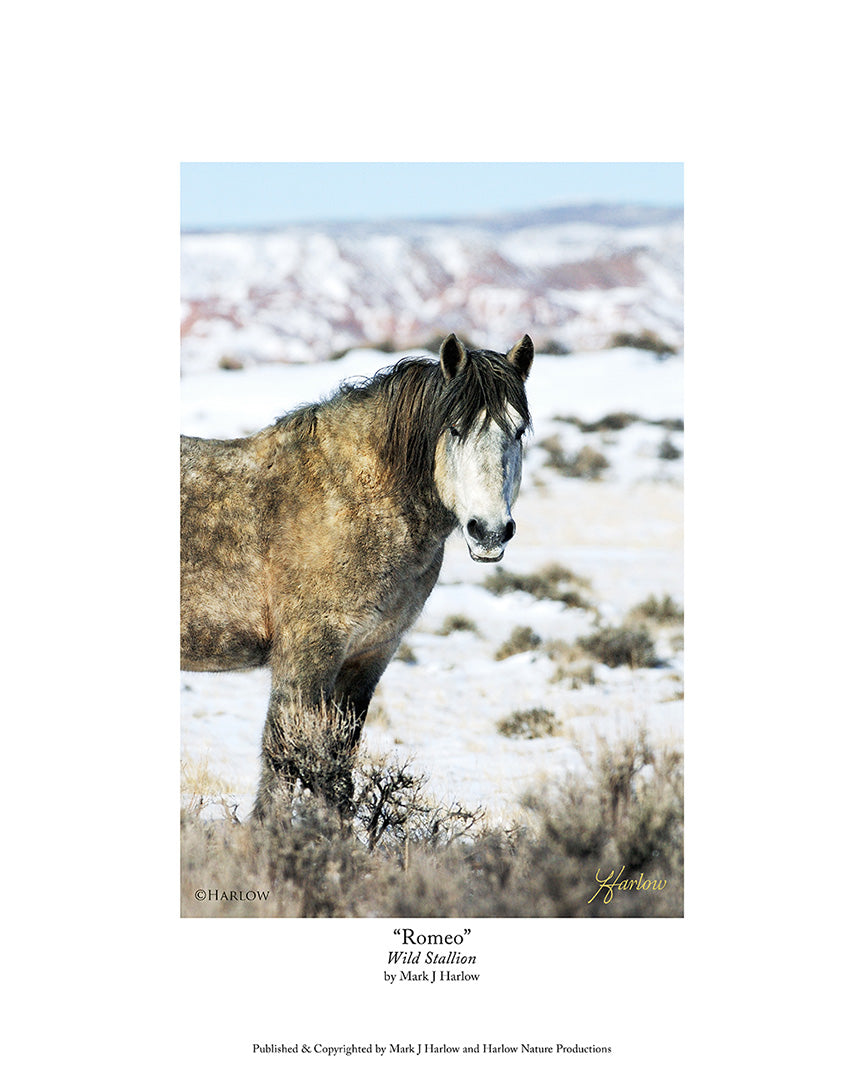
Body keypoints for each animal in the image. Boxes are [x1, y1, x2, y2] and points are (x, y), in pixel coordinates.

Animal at [181, 333, 534, 817]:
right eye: (456, 429)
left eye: (517, 431)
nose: (490, 531)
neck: (351, 498)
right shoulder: (305, 656)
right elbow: (283, 765)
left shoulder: (368, 656)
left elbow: (338, 768)